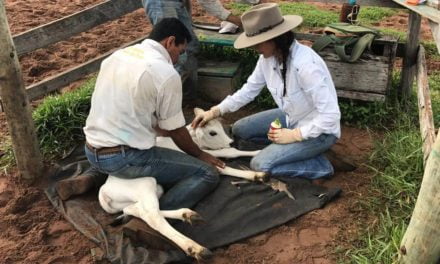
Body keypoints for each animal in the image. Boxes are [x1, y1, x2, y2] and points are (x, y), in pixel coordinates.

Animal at [98, 107, 266, 260]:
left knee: (135, 209)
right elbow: (228, 155)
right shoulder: (206, 157)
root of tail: (104, 189)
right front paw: (257, 162)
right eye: (212, 132)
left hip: (154, 190)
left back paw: (187, 215)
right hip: (146, 183)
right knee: (151, 215)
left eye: (220, 126)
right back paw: (195, 248)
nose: (231, 141)